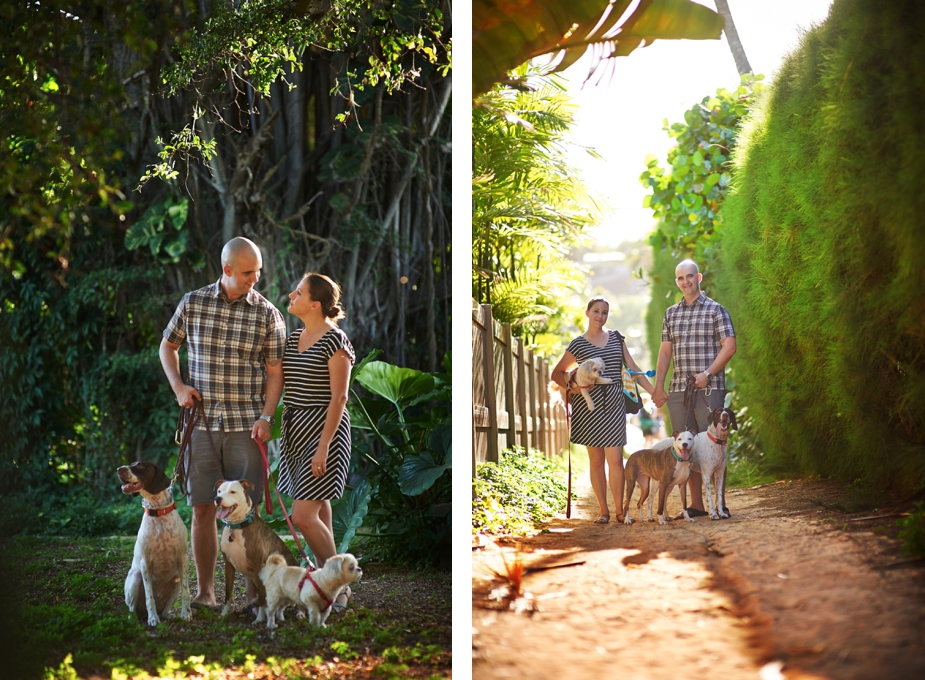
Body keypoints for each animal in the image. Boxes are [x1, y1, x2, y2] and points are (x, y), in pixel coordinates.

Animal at [119, 462, 191, 628]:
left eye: (140, 466)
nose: (119, 469)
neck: (158, 510)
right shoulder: (145, 563)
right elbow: (149, 596)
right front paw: (153, 619)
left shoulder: (182, 558)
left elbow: (186, 591)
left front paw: (186, 614)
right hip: (135, 577)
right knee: (132, 609)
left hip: (176, 580)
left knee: (165, 610)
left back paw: (167, 616)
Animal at [216, 478, 300, 620]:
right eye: (219, 491)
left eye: (233, 492)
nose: (218, 498)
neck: (237, 526)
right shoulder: (228, 565)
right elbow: (228, 593)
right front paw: (223, 614)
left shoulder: (259, 565)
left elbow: (261, 596)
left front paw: (260, 619)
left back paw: (300, 613)